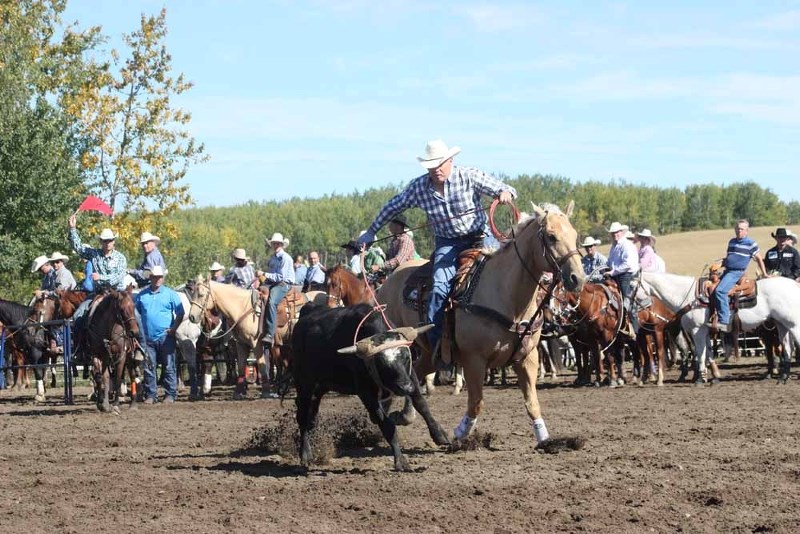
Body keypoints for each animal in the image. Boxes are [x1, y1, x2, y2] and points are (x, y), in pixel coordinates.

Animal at [376, 203, 580, 446]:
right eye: (551, 236)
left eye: (575, 235)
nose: (578, 278)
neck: (506, 295)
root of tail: (384, 285)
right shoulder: (474, 360)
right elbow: (476, 402)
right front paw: (460, 434)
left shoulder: (527, 357)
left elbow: (532, 402)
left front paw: (544, 439)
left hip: (427, 353)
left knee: (414, 375)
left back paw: (405, 415)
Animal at [640, 274, 800, 384]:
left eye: (634, 284)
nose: (640, 312)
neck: (689, 296)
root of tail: (794, 285)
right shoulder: (704, 331)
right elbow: (708, 352)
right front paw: (713, 377)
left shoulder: (697, 330)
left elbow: (700, 353)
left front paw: (700, 379)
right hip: (782, 324)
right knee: (787, 348)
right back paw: (783, 378)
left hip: (793, 324)